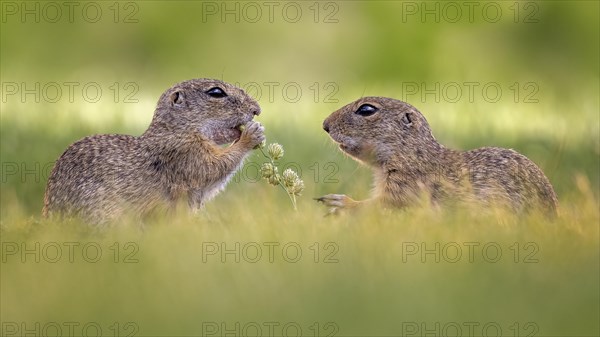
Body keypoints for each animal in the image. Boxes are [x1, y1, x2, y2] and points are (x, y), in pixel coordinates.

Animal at [43, 78, 264, 223]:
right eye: (216, 92)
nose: (257, 109)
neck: (178, 129)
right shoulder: (184, 154)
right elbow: (213, 167)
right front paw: (252, 135)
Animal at [318, 95, 556, 215]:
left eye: (366, 110)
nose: (325, 125)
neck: (412, 154)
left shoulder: (406, 186)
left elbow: (382, 205)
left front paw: (340, 203)